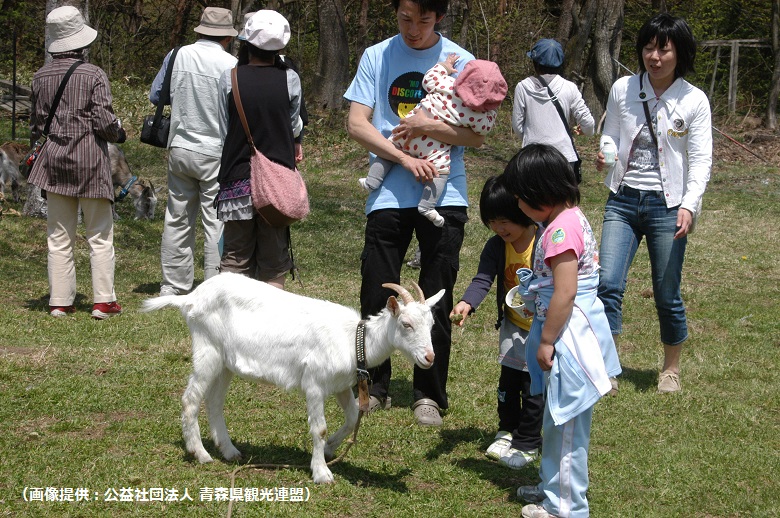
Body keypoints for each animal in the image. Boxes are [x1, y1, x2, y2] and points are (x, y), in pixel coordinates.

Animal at [141, 274, 444, 486]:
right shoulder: (314, 383)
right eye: (406, 324)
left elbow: (352, 417)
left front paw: (330, 449)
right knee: (191, 399)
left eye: (431, 325)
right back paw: (200, 453)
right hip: (207, 348)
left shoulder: (341, 386)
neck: (353, 340)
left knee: (214, 401)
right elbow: (318, 428)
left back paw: (229, 451)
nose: (429, 357)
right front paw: (322, 472)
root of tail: (190, 298)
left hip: (225, 361)